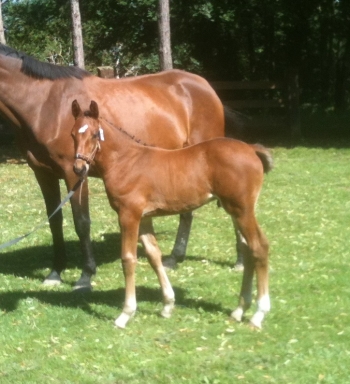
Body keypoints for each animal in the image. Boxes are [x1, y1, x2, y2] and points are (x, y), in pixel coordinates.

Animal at [0, 43, 241, 290]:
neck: (44, 104)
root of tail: (205, 86)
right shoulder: (43, 174)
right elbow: (54, 221)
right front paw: (55, 272)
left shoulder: (74, 173)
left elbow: (81, 222)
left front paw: (86, 275)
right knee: (188, 213)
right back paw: (174, 258)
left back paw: (239, 261)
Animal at [70, 100, 274, 328]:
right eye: (72, 134)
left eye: (94, 135)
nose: (78, 168)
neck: (125, 161)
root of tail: (251, 149)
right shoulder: (144, 217)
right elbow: (153, 255)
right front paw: (167, 305)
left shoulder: (128, 215)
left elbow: (128, 259)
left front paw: (125, 313)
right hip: (236, 211)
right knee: (248, 249)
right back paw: (239, 310)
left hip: (242, 211)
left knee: (259, 247)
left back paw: (259, 314)